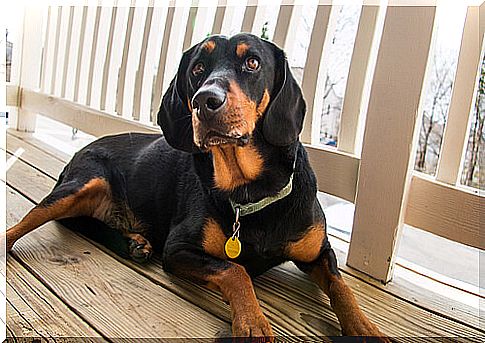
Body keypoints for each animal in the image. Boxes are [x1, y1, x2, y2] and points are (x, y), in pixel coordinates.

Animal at [6, 33, 386, 340]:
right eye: (198, 68)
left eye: (252, 62)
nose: (205, 100)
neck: (250, 190)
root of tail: (78, 151)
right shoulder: (179, 250)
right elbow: (236, 270)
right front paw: (253, 323)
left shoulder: (320, 252)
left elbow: (343, 287)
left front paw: (365, 327)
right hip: (79, 184)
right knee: (17, 227)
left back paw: (135, 242)